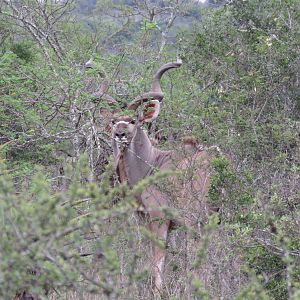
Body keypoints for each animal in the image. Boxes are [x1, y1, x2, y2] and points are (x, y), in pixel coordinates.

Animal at [103, 60, 213, 290]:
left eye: (133, 120)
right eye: (114, 120)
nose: (120, 134)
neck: (152, 164)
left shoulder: (160, 219)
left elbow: (158, 258)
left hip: (196, 220)